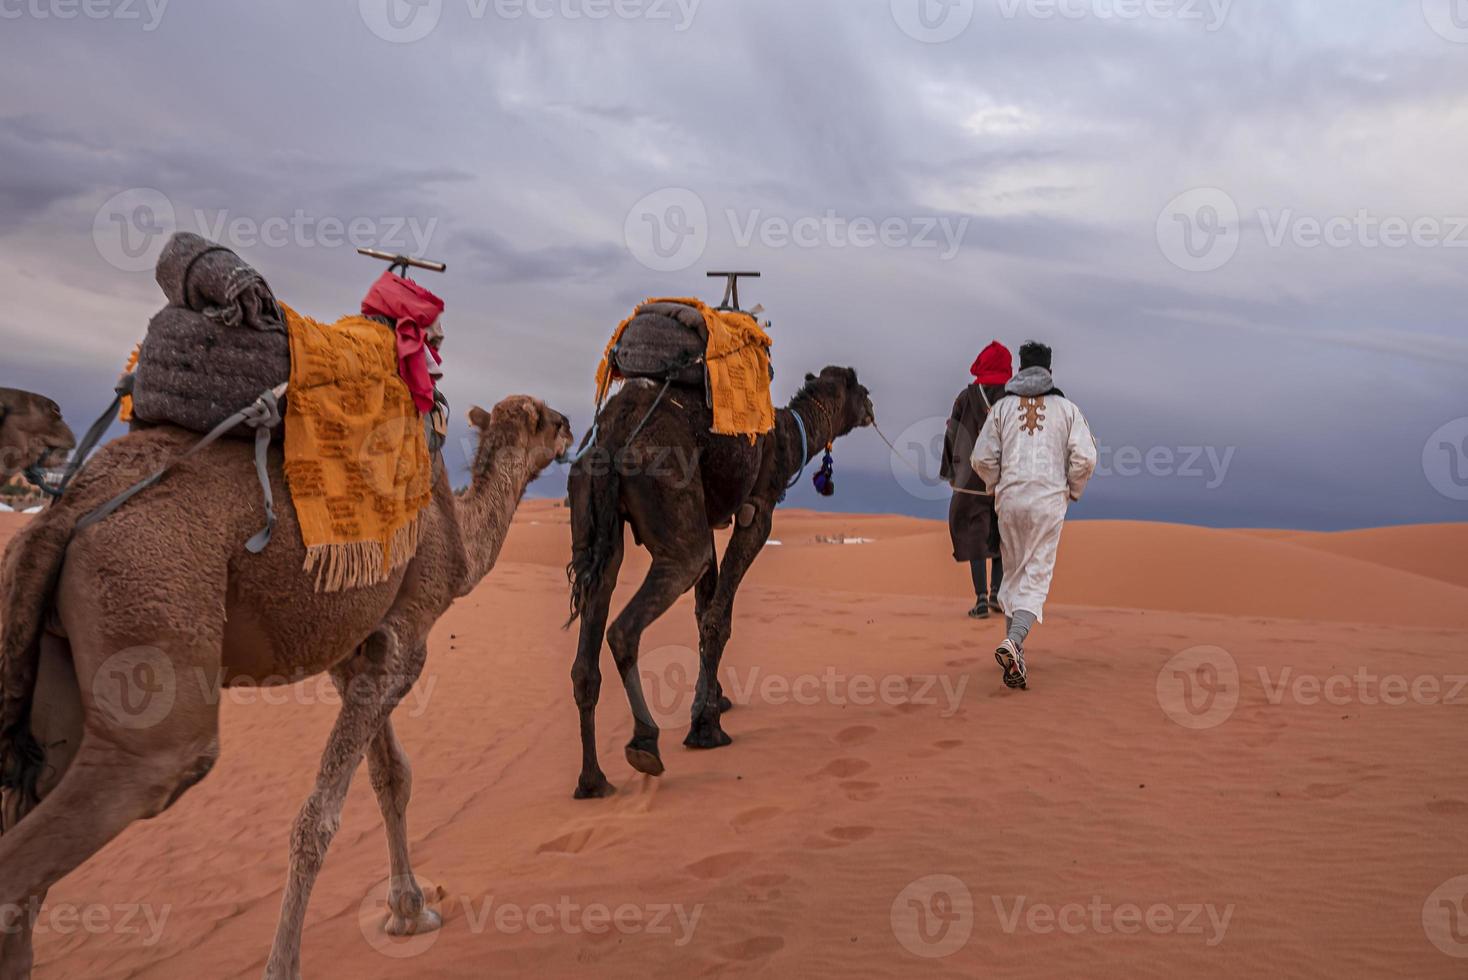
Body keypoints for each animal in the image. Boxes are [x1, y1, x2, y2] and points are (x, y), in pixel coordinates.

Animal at [0, 393, 572, 974]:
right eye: (550, 420)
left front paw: (409, 912)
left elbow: (390, 776)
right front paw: (287, 964)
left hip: (58, 664)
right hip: (150, 616)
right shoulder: (405, 641)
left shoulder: (354, 653)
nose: (572, 430)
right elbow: (321, 816)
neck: (460, 540)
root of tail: (67, 509)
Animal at [566, 363, 874, 798]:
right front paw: (705, 726)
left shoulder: (709, 517)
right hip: (670, 493)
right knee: (629, 624)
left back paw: (592, 780)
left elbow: (703, 609)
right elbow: (717, 619)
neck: (789, 437)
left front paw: (714, 700)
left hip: (595, 517)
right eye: (858, 386)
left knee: (588, 647)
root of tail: (613, 432)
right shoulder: (757, 511)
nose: (871, 406)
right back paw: (645, 743)